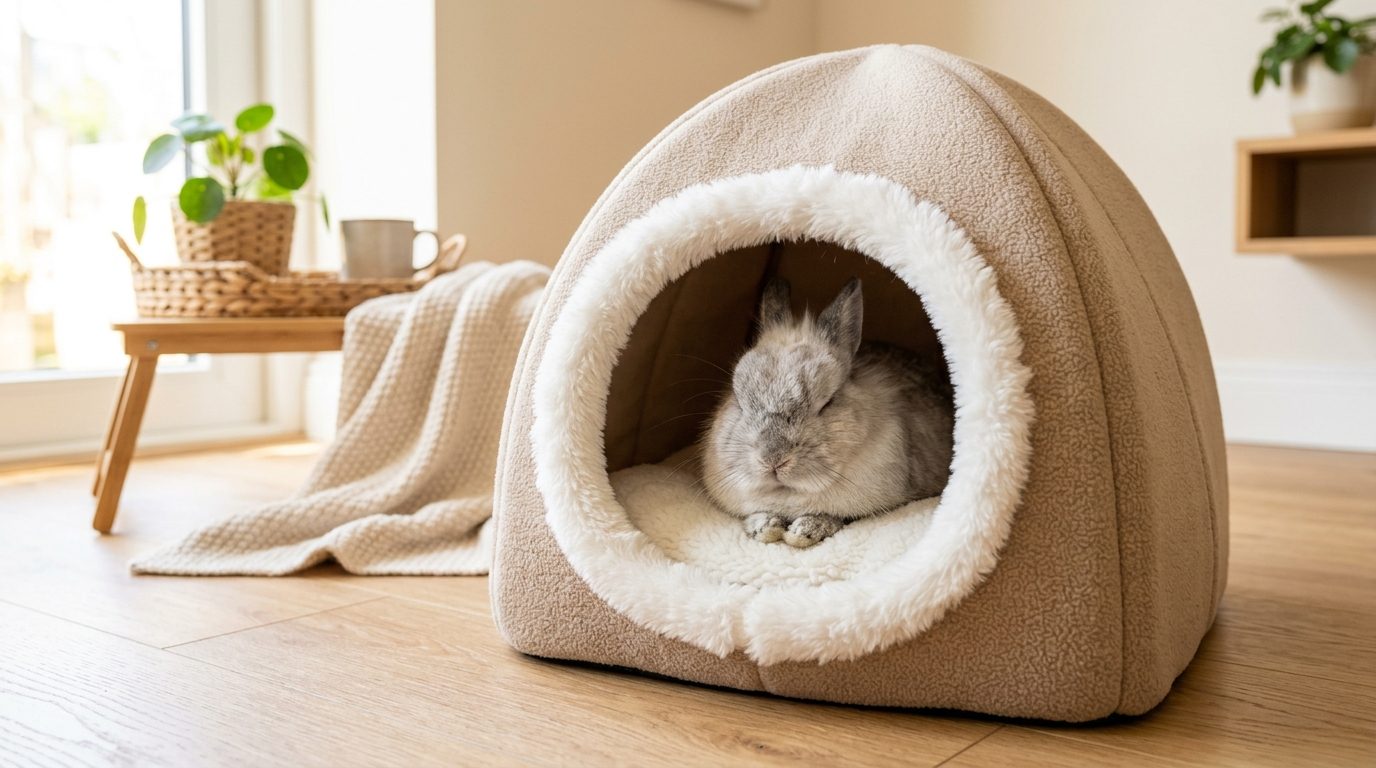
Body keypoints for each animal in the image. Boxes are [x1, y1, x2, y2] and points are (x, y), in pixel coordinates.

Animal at [701, 277, 954, 548]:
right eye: (739, 399)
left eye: (827, 402)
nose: (773, 459)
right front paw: (766, 527)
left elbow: (835, 518)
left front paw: (803, 532)